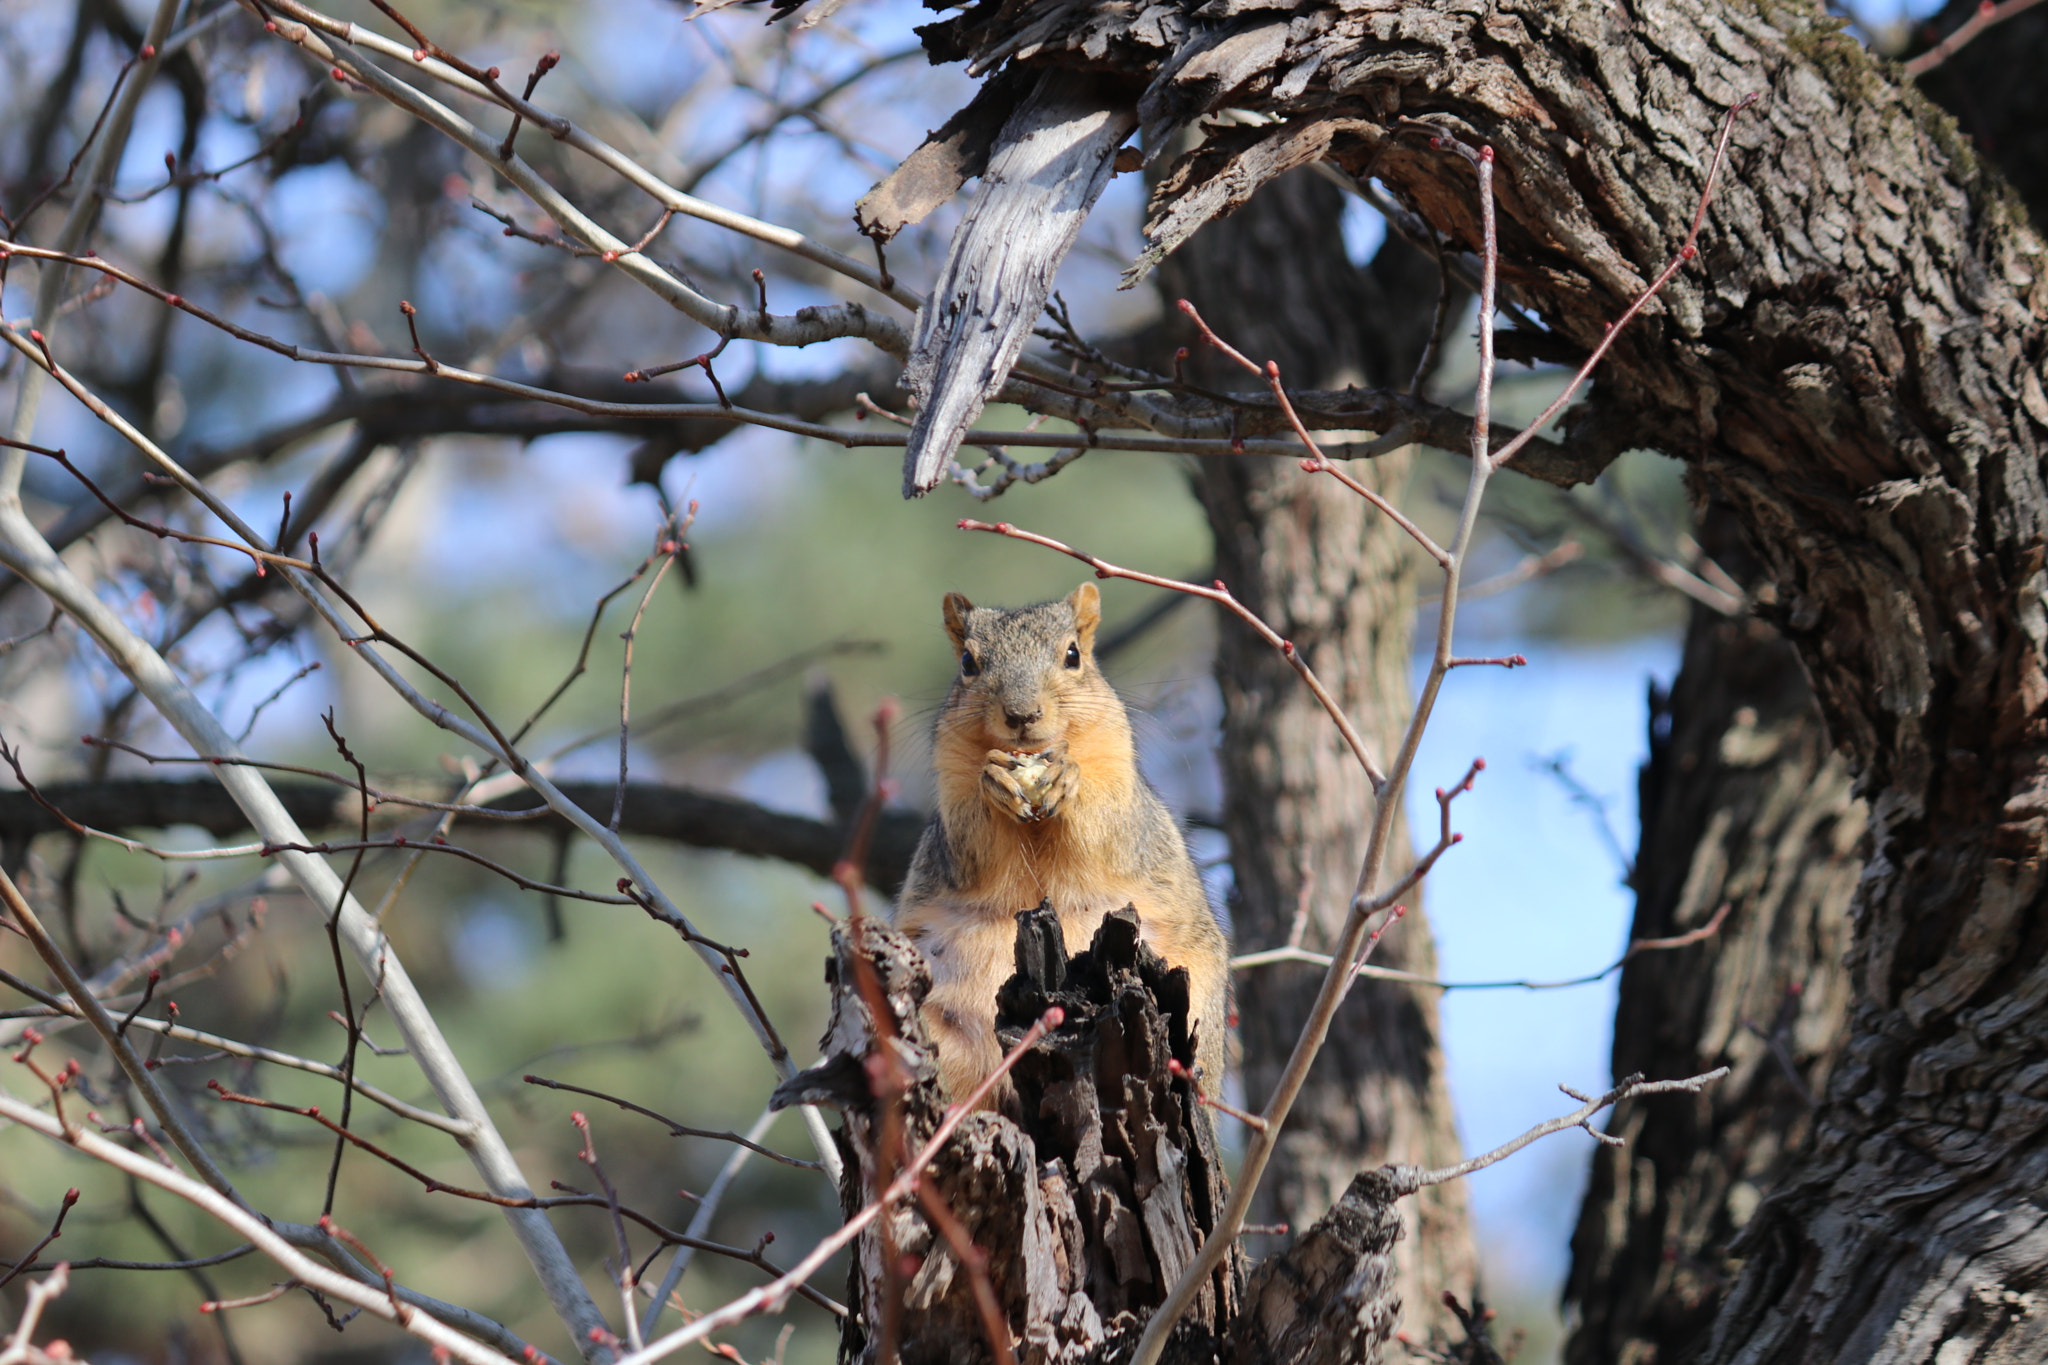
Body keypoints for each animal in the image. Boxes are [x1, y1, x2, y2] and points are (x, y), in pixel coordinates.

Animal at [891, 582, 1230, 1103]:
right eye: (968, 662)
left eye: (1073, 655)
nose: (1021, 714)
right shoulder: (952, 813)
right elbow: (973, 845)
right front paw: (994, 781)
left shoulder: (1123, 795)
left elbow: (1107, 824)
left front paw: (1069, 779)